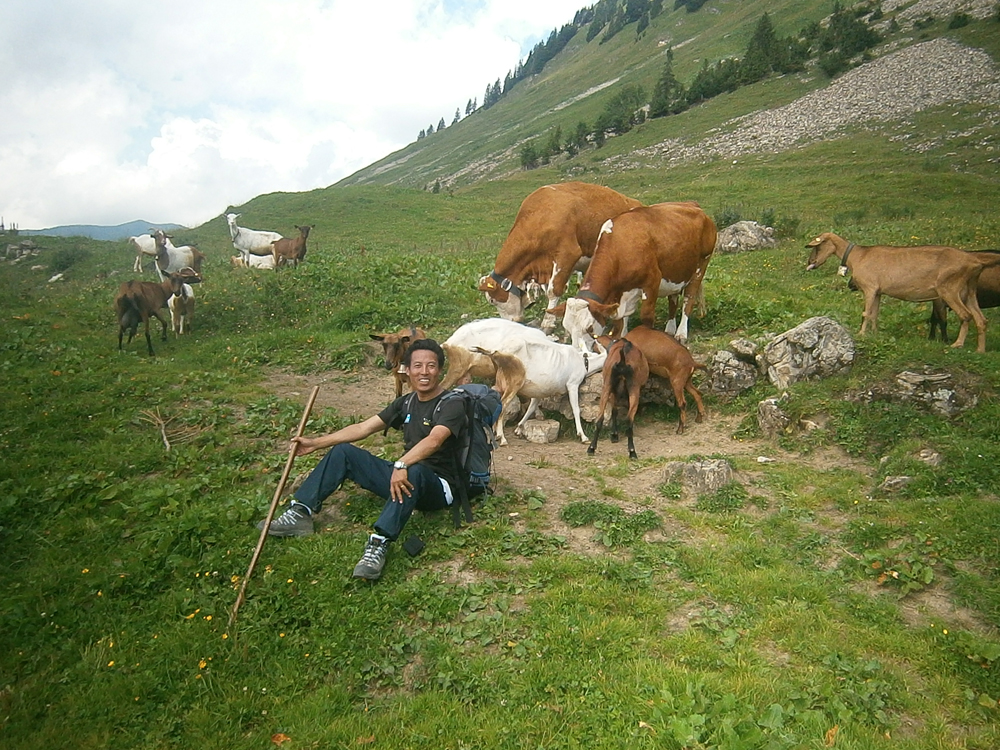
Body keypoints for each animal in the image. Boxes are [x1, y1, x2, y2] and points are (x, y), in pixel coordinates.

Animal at [471, 337, 607, 445]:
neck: (583, 362)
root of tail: (495, 352)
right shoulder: (572, 385)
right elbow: (576, 409)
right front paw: (583, 436)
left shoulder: (539, 391)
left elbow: (531, 407)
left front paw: (519, 429)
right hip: (514, 383)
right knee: (503, 405)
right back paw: (502, 438)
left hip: (500, 384)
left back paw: (493, 434)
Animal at [806, 232, 1000, 352]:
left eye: (817, 246)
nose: (810, 263)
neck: (858, 256)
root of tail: (974, 261)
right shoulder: (878, 291)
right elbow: (875, 314)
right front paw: (875, 334)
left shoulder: (870, 288)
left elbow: (866, 313)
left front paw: (861, 334)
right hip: (969, 291)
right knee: (981, 319)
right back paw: (980, 350)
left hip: (950, 289)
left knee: (966, 315)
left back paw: (957, 344)